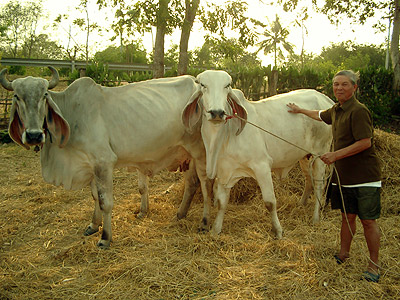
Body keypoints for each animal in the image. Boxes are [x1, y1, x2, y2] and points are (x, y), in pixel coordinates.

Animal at [0, 67, 212, 247]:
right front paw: (93, 225)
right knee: (192, 183)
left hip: (201, 151)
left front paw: (105, 237)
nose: (34, 135)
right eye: (17, 96)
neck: (73, 113)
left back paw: (204, 223)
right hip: (188, 155)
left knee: (205, 185)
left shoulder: (104, 162)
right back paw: (181, 214)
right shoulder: (90, 164)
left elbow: (105, 202)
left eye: (44, 95)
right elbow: (95, 197)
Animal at [183, 69, 332, 237]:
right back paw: (301, 204)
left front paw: (278, 231)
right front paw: (216, 230)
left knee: (319, 184)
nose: (217, 113)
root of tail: (325, 99)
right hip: (305, 157)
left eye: (227, 86)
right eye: (203, 85)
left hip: (321, 153)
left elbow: (270, 202)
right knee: (308, 180)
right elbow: (221, 203)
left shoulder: (262, 166)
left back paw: (315, 218)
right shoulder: (225, 171)